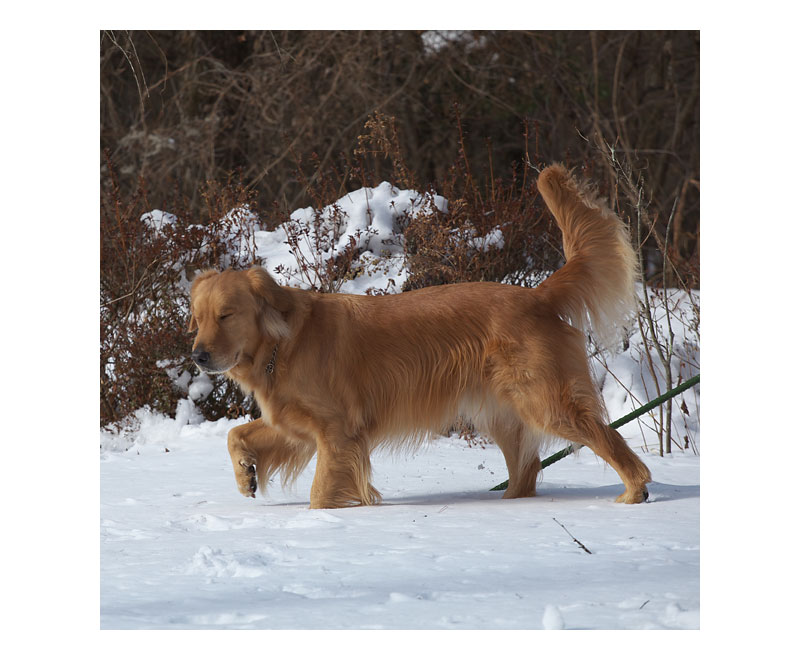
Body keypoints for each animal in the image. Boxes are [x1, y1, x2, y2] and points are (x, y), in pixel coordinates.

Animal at [189, 164, 651, 509]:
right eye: (198, 317)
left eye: (226, 315)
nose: (197, 357)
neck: (283, 344)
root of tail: (537, 294)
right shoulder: (297, 425)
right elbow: (237, 434)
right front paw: (246, 474)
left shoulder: (338, 431)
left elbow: (321, 494)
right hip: (501, 411)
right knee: (529, 467)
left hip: (546, 401)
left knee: (605, 438)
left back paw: (634, 491)